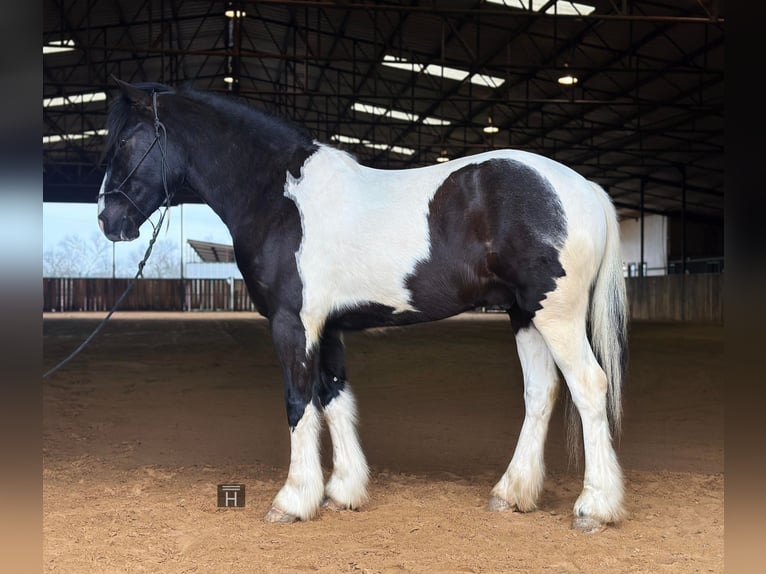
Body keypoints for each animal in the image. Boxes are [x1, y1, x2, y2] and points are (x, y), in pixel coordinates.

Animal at [97, 81, 632, 536]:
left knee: (589, 386)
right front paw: (343, 492)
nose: (108, 219)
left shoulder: (293, 324)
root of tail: (582, 188)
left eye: (124, 141)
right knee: (540, 393)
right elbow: (334, 397)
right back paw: (512, 493)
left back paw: (594, 507)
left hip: (555, 315)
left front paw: (293, 500)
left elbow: (298, 401)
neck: (280, 196)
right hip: (525, 316)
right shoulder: (327, 327)